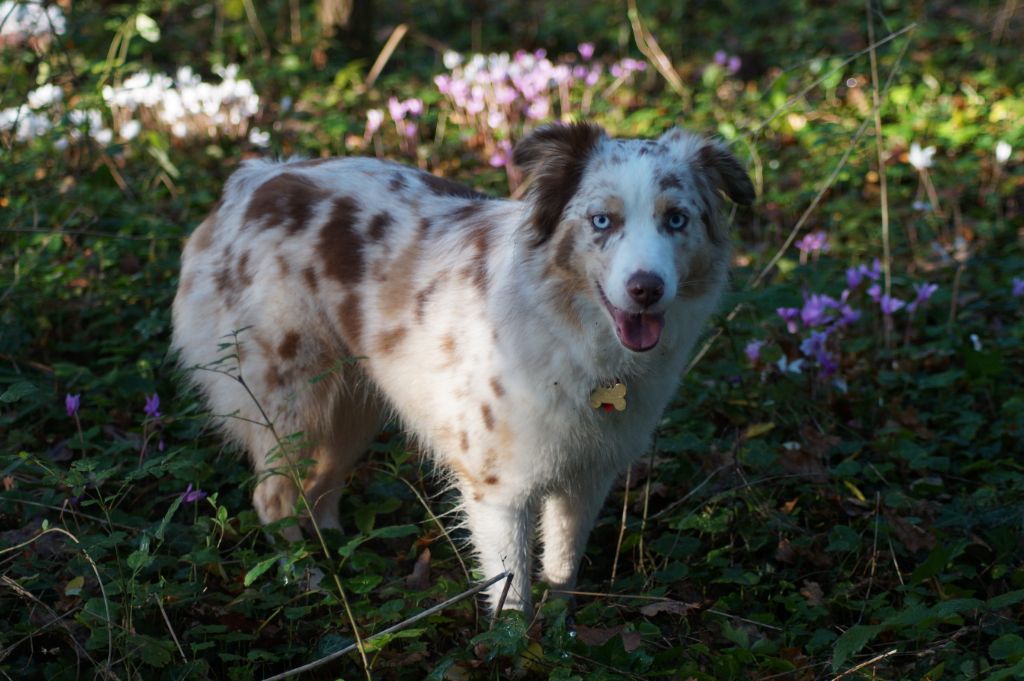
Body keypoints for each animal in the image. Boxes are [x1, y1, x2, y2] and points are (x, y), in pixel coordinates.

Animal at [172, 120, 757, 610]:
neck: (574, 333)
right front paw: (519, 651)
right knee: (272, 497)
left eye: (676, 219)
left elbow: (562, 570)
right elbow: (513, 596)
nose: (646, 289)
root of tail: (252, 181)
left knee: (319, 490)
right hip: (291, 400)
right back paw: (308, 582)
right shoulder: (497, 490)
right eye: (601, 221)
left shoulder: (587, 476)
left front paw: (563, 637)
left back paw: (346, 562)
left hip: (355, 405)